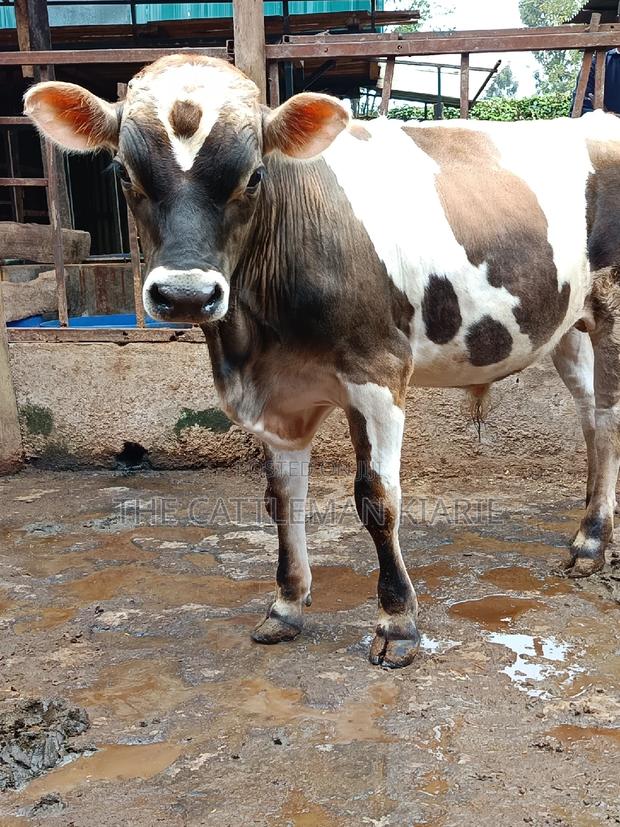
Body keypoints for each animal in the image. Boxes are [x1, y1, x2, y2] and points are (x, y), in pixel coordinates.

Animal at [24, 55, 620, 668]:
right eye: (123, 173)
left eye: (254, 176)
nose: (186, 294)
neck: (258, 341)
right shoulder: (275, 397)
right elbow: (282, 498)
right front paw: (286, 605)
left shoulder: (378, 374)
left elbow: (377, 499)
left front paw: (398, 622)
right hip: (565, 328)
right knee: (591, 418)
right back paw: (587, 528)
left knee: (607, 419)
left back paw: (592, 543)